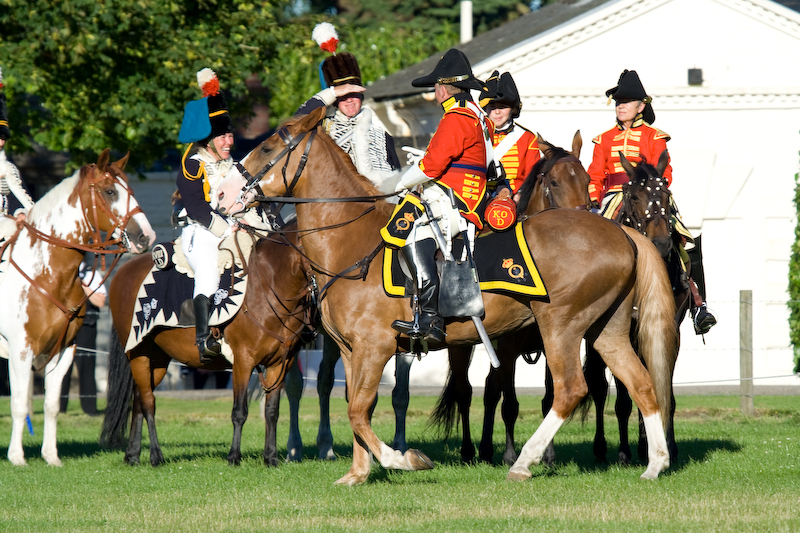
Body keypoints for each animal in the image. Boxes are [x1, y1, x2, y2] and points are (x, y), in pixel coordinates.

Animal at [0, 148, 155, 464]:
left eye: (130, 190)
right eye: (110, 191)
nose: (146, 236)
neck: (47, 275)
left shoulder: (64, 351)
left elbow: (51, 404)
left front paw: (51, 456)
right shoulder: (21, 350)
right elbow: (20, 404)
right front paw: (17, 457)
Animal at [100, 224, 312, 466]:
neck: (270, 285)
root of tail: (124, 270)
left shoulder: (279, 362)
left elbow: (271, 410)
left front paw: (271, 458)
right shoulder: (243, 360)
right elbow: (239, 411)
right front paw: (234, 457)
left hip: (158, 359)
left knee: (138, 397)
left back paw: (133, 454)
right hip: (139, 352)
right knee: (147, 402)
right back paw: (155, 455)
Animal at [217, 106, 676, 484]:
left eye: (271, 144)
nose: (222, 193)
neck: (349, 239)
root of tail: (620, 231)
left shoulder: (374, 347)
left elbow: (359, 411)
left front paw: (403, 459)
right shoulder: (351, 350)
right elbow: (356, 407)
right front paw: (358, 474)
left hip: (560, 327)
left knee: (570, 391)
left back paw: (523, 462)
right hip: (605, 330)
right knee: (642, 384)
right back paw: (654, 463)